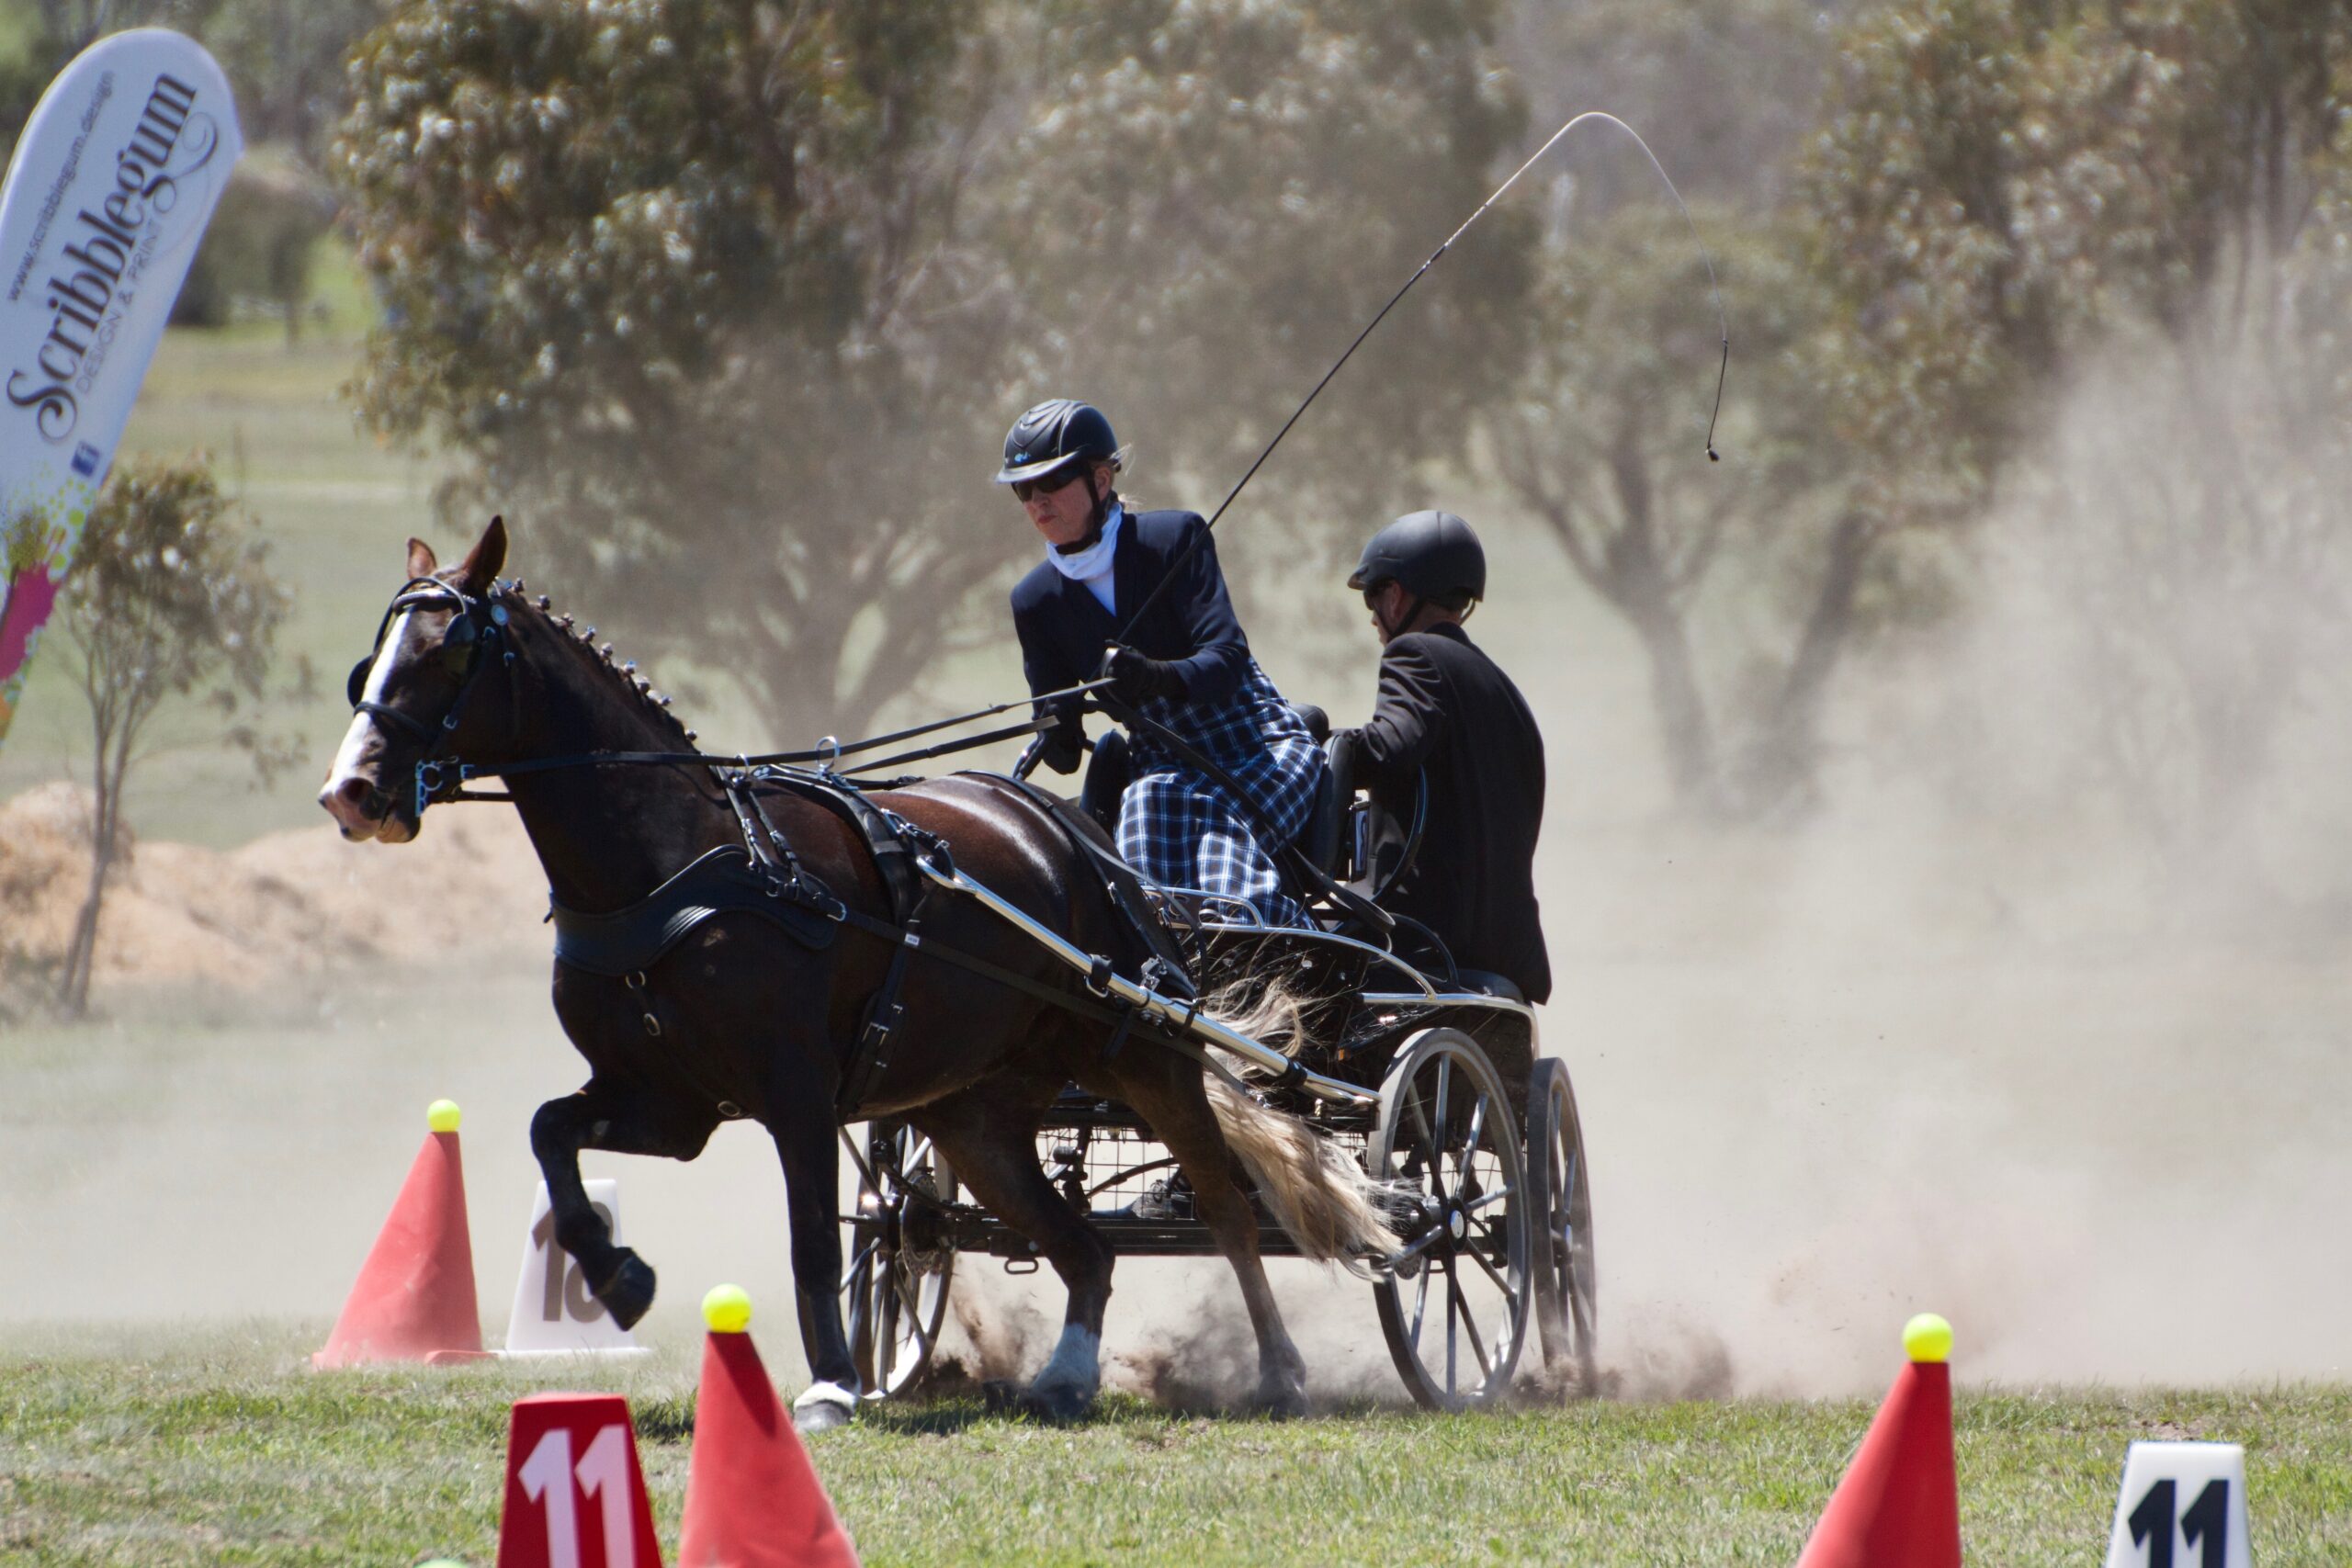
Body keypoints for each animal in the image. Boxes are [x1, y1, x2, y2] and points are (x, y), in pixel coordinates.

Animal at [310, 522, 1374, 1429]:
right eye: (375, 657)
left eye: (450, 653)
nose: (350, 791)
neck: (679, 865)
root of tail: (1073, 831)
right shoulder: (668, 1102)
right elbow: (550, 1134)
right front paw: (619, 1279)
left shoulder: (796, 1092)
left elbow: (814, 1240)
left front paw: (828, 1385)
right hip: (975, 1114)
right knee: (1080, 1242)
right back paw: (1067, 1377)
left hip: (1141, 1055)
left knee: (1226, 1201)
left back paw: (1281, 1372)